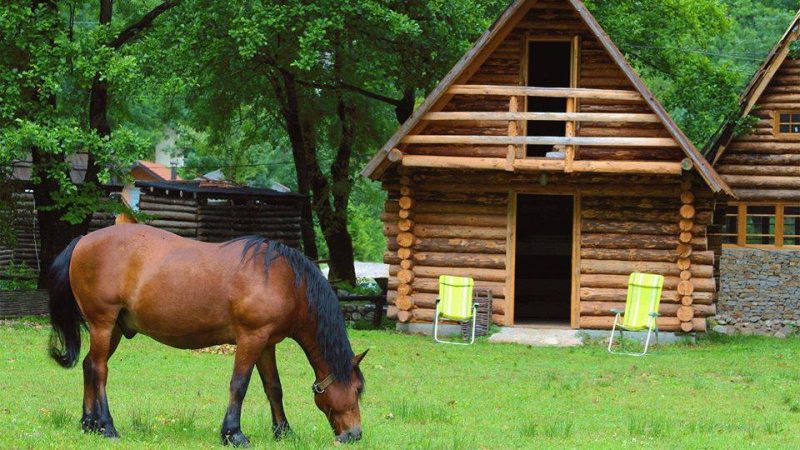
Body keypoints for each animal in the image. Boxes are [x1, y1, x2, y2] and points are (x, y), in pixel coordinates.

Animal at [47, 225, 366, 446]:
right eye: (357, 389)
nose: (355, 434)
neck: (284, 280)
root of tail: (83, 241)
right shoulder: (251, 339)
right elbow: (239, 385)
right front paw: (233, 434)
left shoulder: (266, 344)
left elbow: (273, 388)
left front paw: (284, 431)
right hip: (103, 323)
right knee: (100, 371)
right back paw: (108, 427)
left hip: (112, 329)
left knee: (89, 366)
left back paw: (89, 423)